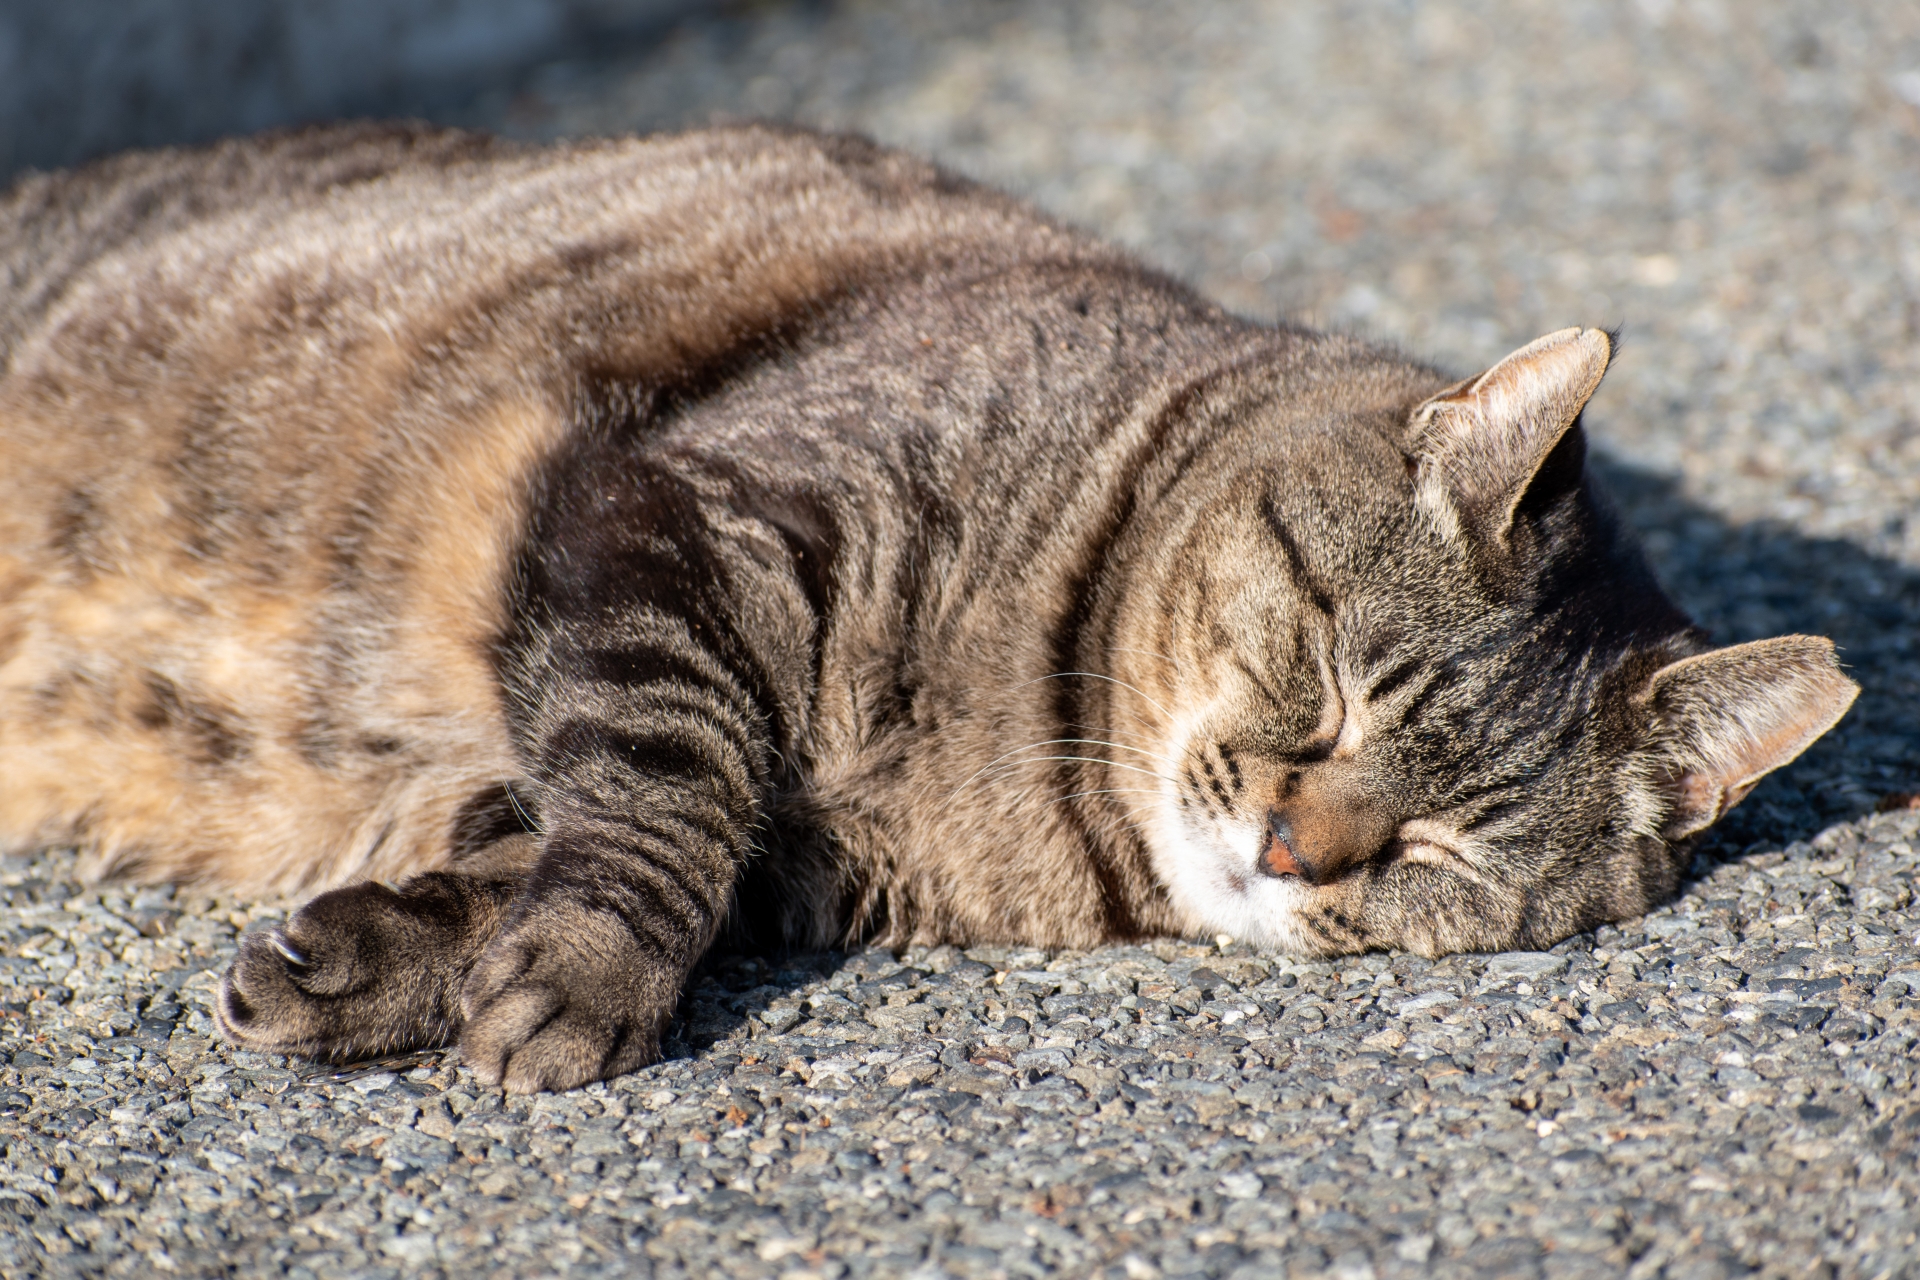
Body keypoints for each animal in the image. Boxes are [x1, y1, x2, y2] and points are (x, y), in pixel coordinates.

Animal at [0, 122, 1858, 1090]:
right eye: (1332, 685)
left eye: (1443, 852)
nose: (1288, 850)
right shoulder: (687, 506)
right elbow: (666, 783)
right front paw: (576, 976)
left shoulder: (775, 841)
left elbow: (572, 844)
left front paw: (382, 963)